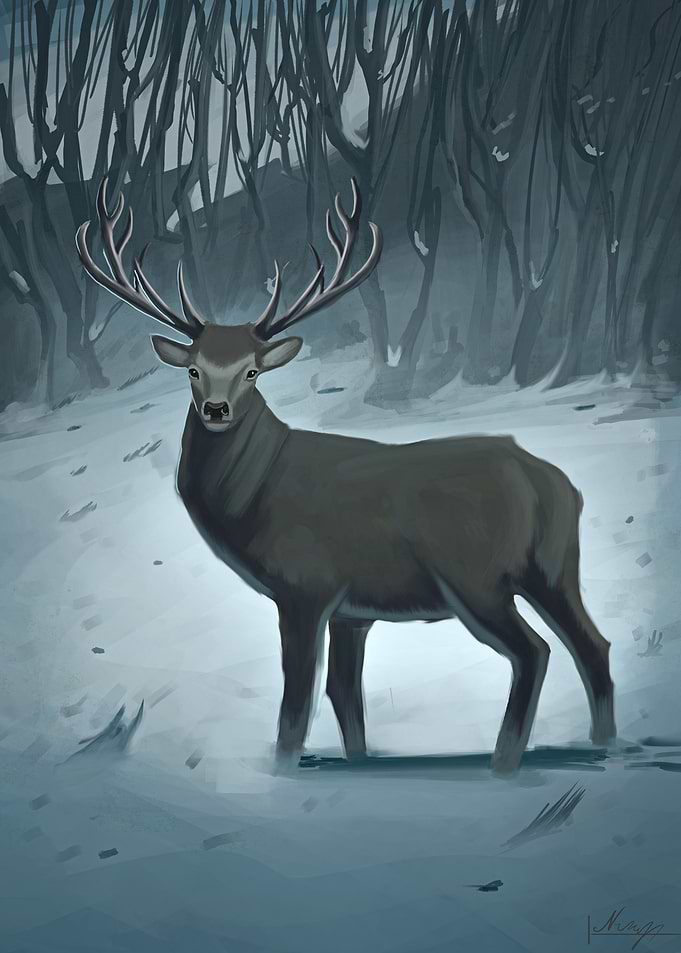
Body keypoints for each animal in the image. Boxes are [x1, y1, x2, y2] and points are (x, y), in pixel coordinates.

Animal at [76, 176, 616, 776]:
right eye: (193, 368)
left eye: (252, 370)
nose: (217, 409)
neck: (256, 496)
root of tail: (550, 484)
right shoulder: (355, 609)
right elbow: (344, 694)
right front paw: (357, 758)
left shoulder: (305, 584)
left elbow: (297, 698)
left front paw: (282, 768)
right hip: (555, 567)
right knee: (593, 645)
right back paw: (603, 745)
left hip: (475, 574)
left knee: (534, 651)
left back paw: (504, 761)